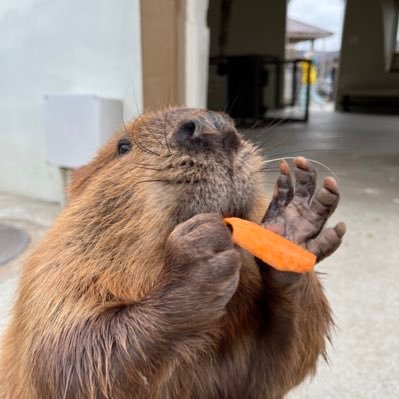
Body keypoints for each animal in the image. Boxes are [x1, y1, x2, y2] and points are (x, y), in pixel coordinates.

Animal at [0, 108, 346, 398]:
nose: (212, 127)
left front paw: (293, 223)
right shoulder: (50, 279)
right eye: (123, 146)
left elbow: (273, 367)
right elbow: (64, 358)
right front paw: (198, 258)